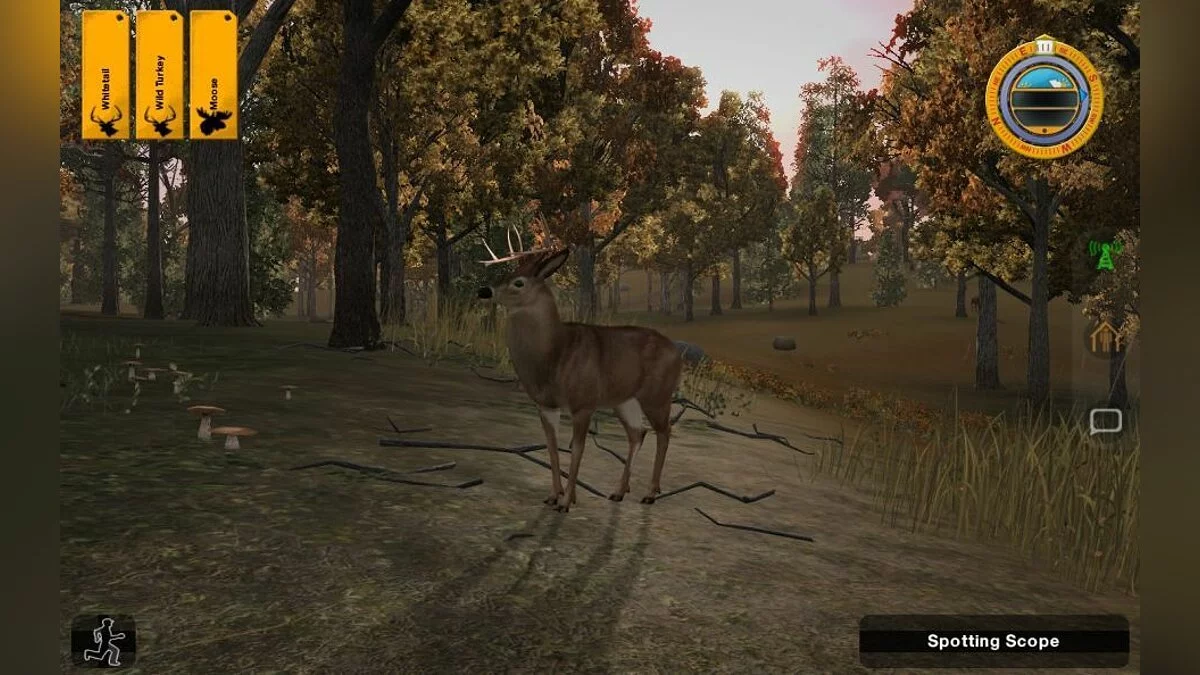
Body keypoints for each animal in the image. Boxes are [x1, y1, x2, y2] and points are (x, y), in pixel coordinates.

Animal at [476, 226, 684, 512]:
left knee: (664, 433)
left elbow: (577, 449)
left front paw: (566, 502)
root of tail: (676, 351)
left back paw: (651, 494)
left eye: (518, 282)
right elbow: (552, 448)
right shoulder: (546, 405)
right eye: (505, 274)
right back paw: (618, 492)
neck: (554, 355)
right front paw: (554, 496)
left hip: (657, 395)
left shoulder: (583, 403)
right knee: (637, 433)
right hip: (624, 400)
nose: (483, 290)